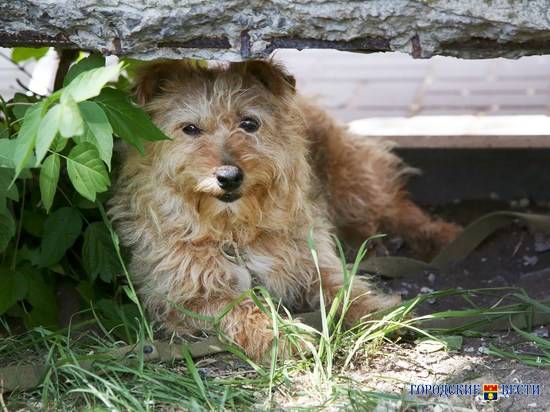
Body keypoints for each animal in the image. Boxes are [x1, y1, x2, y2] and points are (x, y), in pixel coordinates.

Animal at [109, 58, 462, 360]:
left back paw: (442, 236)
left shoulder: (312, 263)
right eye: (191, 129)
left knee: (397, 208)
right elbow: (240, 308)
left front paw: (381, 313)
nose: (229, 176)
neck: (234, 233)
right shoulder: (186, 298)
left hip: (353, 182)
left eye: (249, 123)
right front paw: (279, 336)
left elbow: (344, 290)